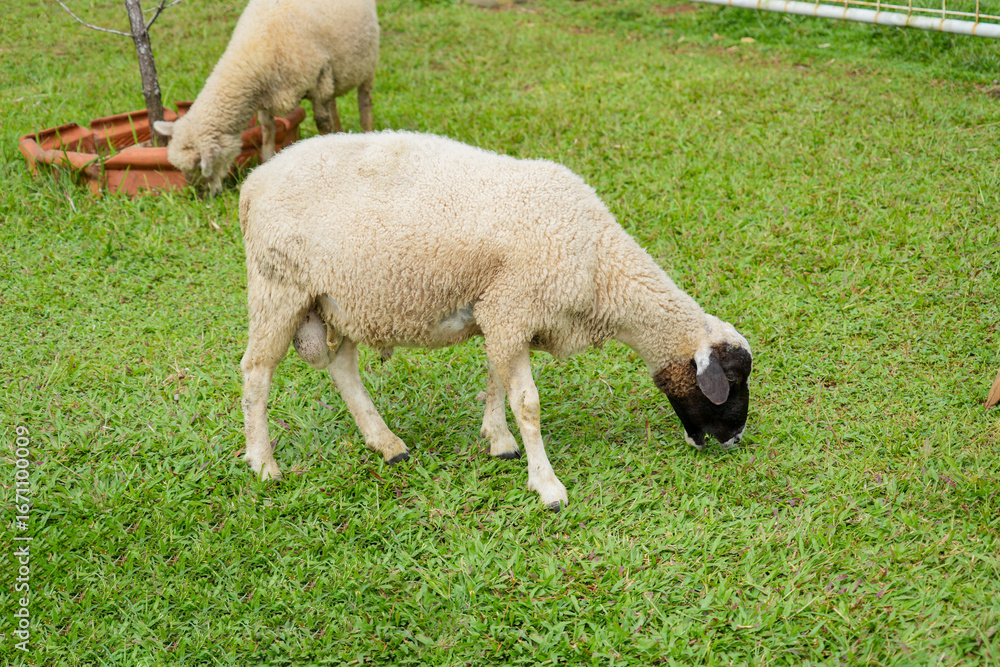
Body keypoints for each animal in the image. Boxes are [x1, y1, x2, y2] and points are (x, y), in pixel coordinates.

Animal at [152, 0, 379, 196]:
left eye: (200, 168)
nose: (202, 197)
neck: (254, 52)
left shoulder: (319, 80)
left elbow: (322, 124)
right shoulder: (265, 99)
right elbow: (268, 132)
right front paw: (267, 165)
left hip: (365, 63)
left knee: (364, 101)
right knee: (333, 104)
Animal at [238, 130, 753, 510]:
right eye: (731, 377)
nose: (735, 440)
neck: (600, 266)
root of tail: (254, 181)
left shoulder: (503, 311)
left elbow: (496, 379)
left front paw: (499, 440)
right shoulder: (512, 308)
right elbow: (528, 403)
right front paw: (547, 485)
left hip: (338, 299)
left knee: (343, 369)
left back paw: (386, 443)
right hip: (277, 288)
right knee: (256, 372)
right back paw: (263, 465)